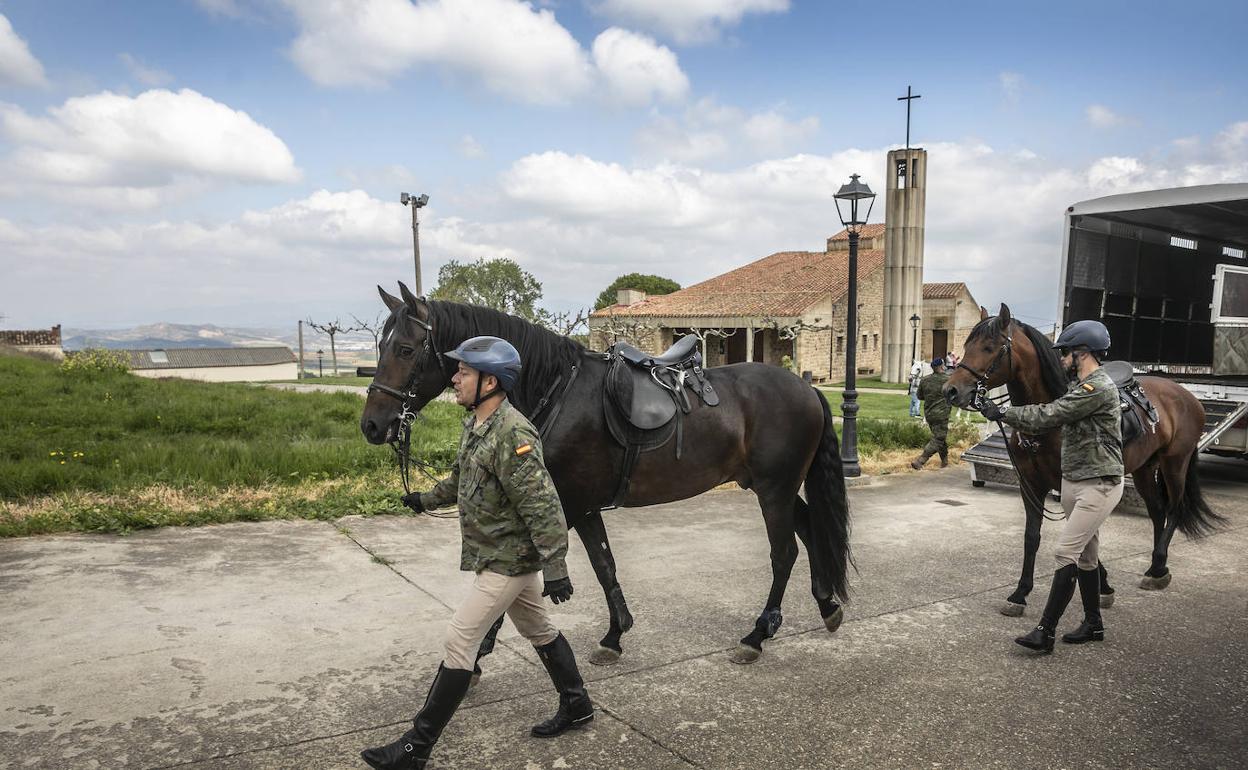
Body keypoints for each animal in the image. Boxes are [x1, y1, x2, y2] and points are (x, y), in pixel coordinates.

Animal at [356, 285, 853, 663]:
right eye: (380, 346)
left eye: (405, 349)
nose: (373, 425)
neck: (556, 389)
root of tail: (807, 387)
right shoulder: (578, 504)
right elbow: (603, 564)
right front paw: (615, 635)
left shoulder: (570, 503)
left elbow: (538, 573)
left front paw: (479, 650)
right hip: (774, 486)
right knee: (811, 531)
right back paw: (826, 605)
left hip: (774, 489)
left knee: (784, 552)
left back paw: (758, 633)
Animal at [943, 303, 1218, 616]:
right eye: (967, 345)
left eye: (989, 347)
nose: (951, 390)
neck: (1049, 420)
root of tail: (1185, 395)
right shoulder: (1031, 486)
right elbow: (1032, 537)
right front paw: (1020, 593)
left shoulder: (1071, 486)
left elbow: (1081, 535)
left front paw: (1103, 585)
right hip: (1145, 470)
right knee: (1158, 512)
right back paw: (1154, 567)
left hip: (1175, 464)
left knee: (1174, 509)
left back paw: (1159, 565)